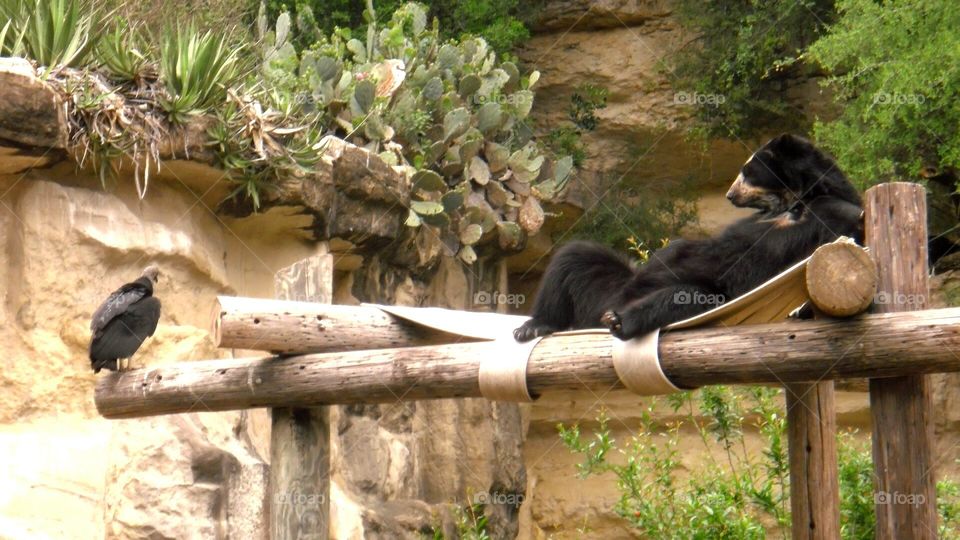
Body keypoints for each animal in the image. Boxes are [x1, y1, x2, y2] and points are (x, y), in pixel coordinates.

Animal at [513, 134, 864, 342]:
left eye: (747, 172)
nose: (729, 194)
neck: (795, 200)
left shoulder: (830, 212)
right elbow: (686, 247)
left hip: (703, 296)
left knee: (680, 299)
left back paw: (619, 321)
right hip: (607, 286)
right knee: (574, 256)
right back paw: (534, 325)